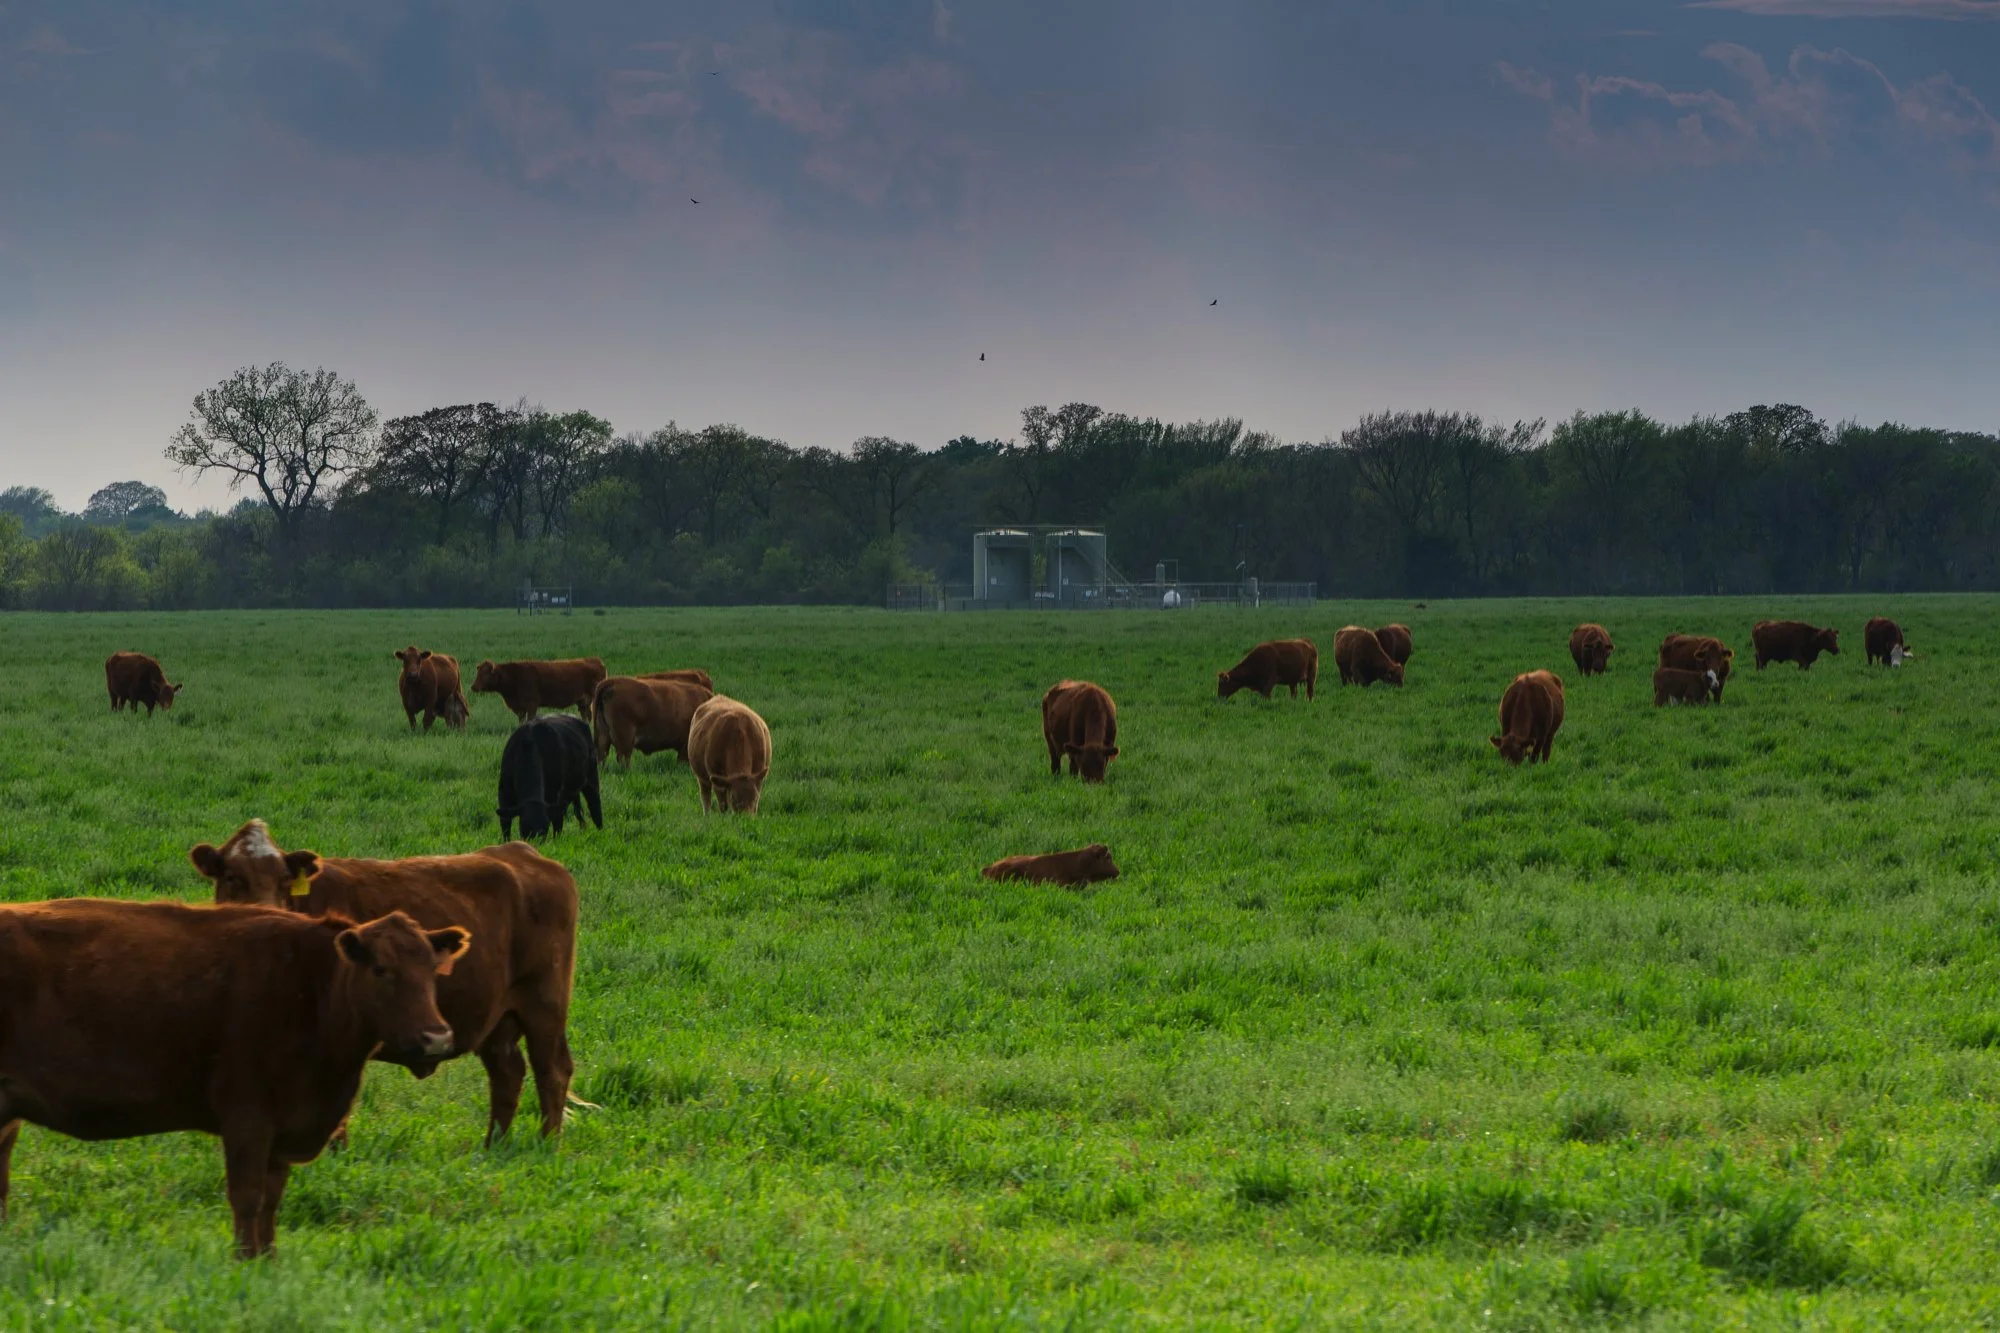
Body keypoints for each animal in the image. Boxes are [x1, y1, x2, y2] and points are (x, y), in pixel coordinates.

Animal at [0, 897, 465, 1258]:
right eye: (381, 969)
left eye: (433, 969)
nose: (436, 1037)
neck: (311, 989)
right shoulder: (247, 1117)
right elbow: (247, 1197)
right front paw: (243, 1261)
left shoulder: (283, 1129)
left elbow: (271, 1201)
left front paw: (268, 1260)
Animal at [189, 819, 578, 1146]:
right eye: (232, 877)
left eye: (286, 879)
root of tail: (524, 854)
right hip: (497, 1018)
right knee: (507, 1074)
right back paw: (493, 1146)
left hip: (545, 1004)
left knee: (552, 1071)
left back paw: (547, 1145)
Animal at [470, 658, 607, 723]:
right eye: (478, 672)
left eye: (485, 674)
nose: (473, 686)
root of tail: (594, 659)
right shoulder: (520, 709)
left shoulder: (532, 704)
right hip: (583, 702)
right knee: (586, 716)